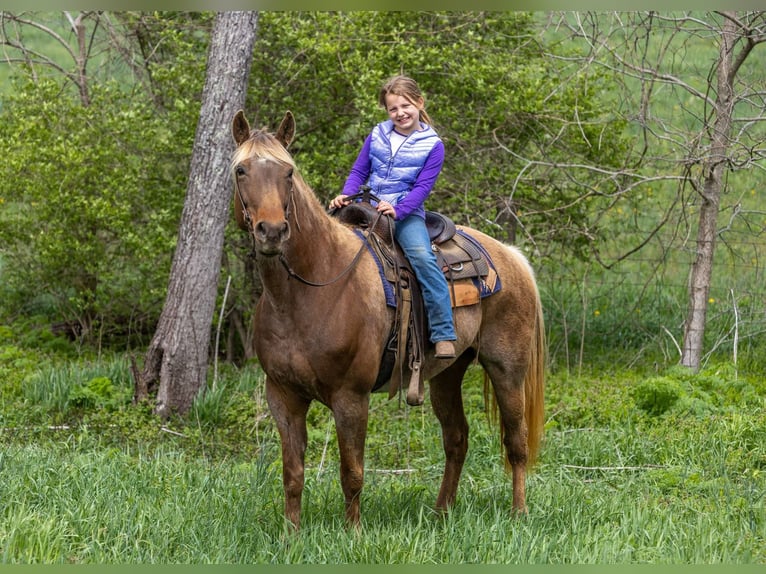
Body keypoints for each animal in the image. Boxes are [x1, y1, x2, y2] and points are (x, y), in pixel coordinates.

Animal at [230, 110, 545, 530]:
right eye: (241, 170)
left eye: (288, 172)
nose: (272, 231)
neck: (308, 290)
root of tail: (510, 255)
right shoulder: (283, 396)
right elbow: (292, 473)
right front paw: (290, 533)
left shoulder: (351, 397)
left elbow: (352, 472)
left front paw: (353, 532)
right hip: (447, 373)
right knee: (457, 438)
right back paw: (441, 513)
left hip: (506, 368)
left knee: (516, 441)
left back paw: (519, 513)